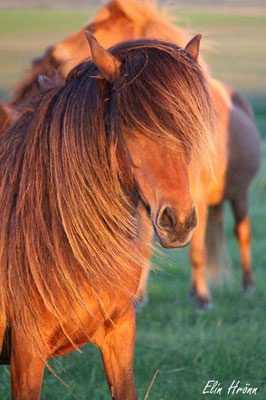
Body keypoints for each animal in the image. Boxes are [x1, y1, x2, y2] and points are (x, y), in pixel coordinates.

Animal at [9, 0, 260, 310]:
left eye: (94, 27)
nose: (55, 52)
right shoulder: (151, 204)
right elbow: (143, 248)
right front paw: (139, 298)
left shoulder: (193, 200)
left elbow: (197, 250)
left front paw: (203, 299)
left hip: (239, 196)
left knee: (243, 233)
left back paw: (247, 286)